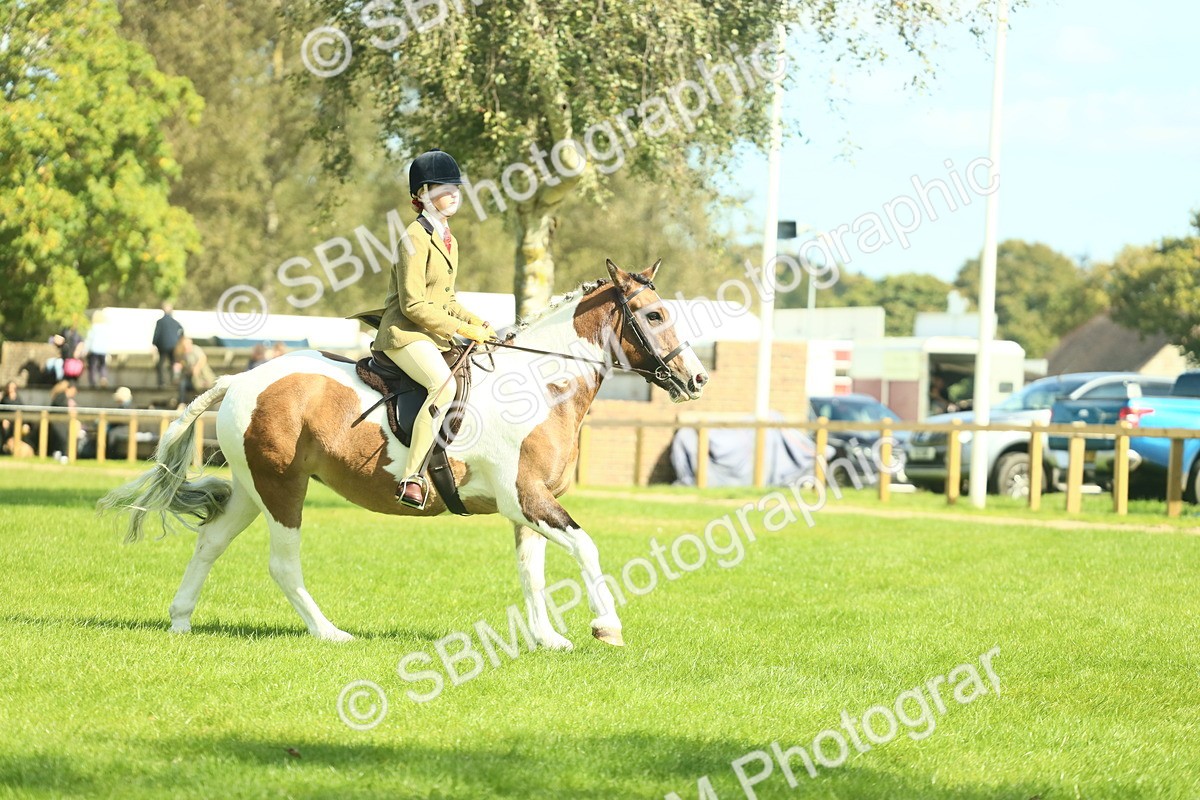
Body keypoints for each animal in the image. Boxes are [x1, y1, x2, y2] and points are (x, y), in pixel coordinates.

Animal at [98, 259, 709, 649]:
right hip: (282, 489)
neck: (539, 384)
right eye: (654, 316)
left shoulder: (526, 507)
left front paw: (546, 637)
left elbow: (531, 572)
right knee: (282, 563)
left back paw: (180, 622)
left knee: (210, 542)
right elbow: (586, 547)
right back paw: (329, 633)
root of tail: (239, 380)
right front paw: (606, 627)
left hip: (255, 488)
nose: (697, 379)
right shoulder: (527, 498)